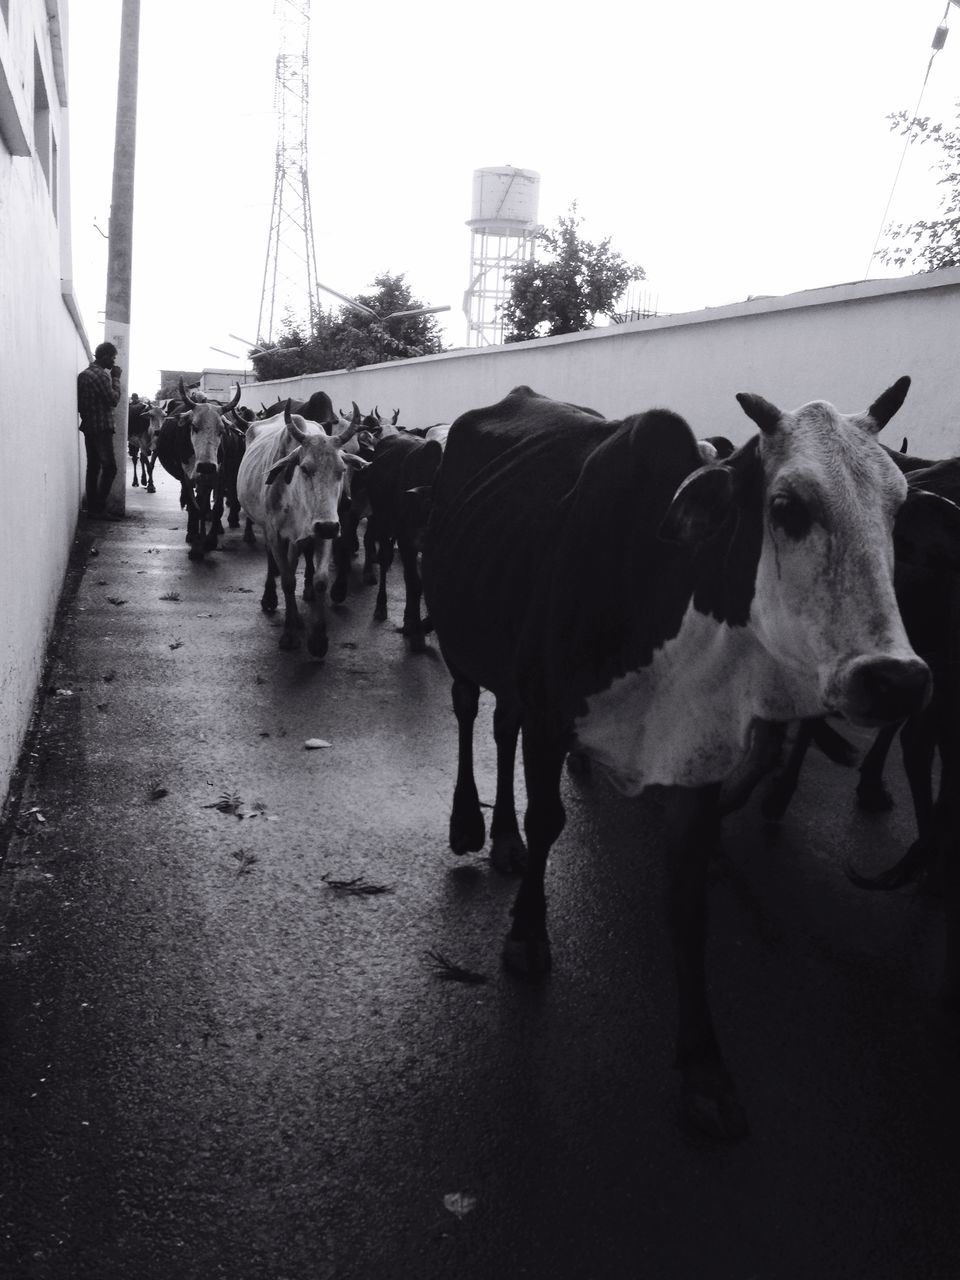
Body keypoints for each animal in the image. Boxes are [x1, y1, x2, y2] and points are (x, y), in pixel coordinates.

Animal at [156, 378, 241, 560]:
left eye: (221, 430)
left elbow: (217, 508)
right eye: (194, 426)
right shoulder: (186, 477)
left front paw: (210, 541)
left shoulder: (219, 475)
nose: (206, 466)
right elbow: (193, 507)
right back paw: (192, 532)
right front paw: (195, 546)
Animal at [235, 401, 363, 660]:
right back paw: (271, 599)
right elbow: (286, 581)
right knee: (275, 564)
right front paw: (289, 634)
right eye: (304, 468)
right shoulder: (275, 534)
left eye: (341, 469)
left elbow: (320, 580)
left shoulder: (324, 533)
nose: (327, 526)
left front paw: (318, 640)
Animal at [419, 378, 957, 1141]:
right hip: (464, 636)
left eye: (897, 508)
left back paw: (505, 841)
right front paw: (525, 938)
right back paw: (471, 825)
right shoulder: (552, 716)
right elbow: (552, 818)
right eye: (786, 508)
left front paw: (703, 1067)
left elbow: (687, 899)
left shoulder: (695, 760)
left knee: (501, 726)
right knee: (470, 712)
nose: (896, 680)